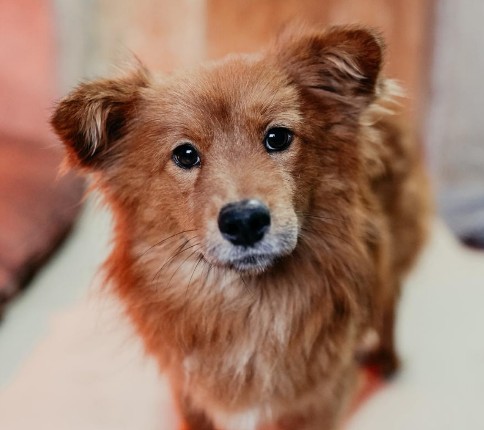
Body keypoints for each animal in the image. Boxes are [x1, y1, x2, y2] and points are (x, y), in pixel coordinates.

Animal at [51, 25, 430, 430]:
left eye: (277, 137)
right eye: (185, 154)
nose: (244, 221)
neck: (247, 306)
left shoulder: (318, 398)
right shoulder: (188, 390)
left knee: (390, 303)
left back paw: (388, 357)